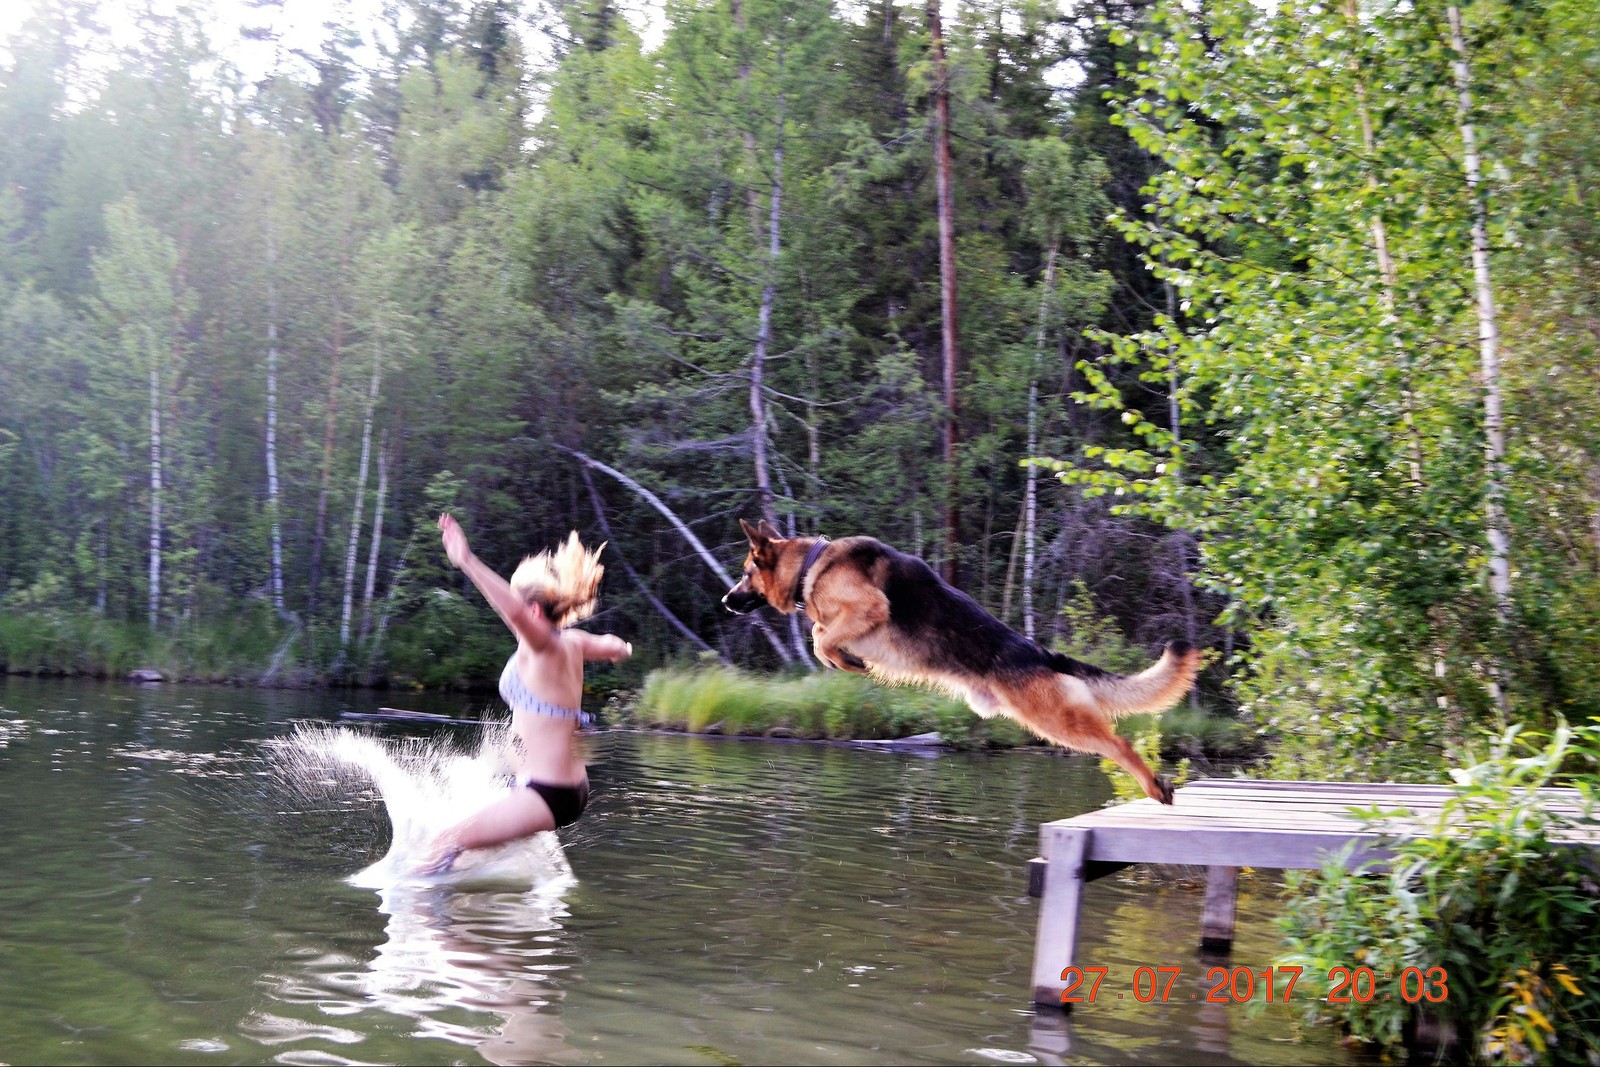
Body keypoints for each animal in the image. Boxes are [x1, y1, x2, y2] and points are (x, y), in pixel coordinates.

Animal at [726, 521, 1203, 806]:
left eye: (747, 572)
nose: (726, 601)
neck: (812, 565)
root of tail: (1042, 653)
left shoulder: (869, 607)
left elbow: (819, 636)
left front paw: (844, 660)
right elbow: (819, 633)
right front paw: (845, 659)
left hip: (1056, 720)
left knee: (1120, 743)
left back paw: (1154, 785)